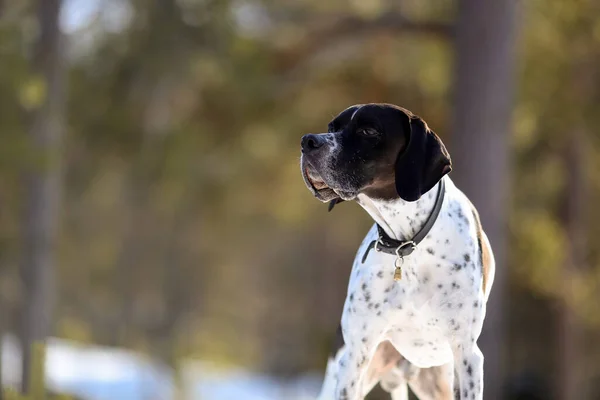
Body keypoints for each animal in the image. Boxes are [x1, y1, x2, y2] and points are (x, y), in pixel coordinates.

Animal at [298, 104, 492, 400]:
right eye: (332, 127)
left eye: (369, 131)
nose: (307, 141)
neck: (406, 243)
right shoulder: (354, 356)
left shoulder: (467, 354)